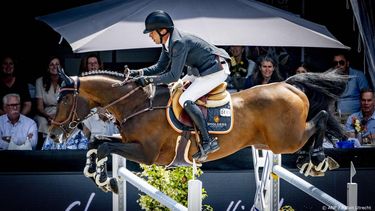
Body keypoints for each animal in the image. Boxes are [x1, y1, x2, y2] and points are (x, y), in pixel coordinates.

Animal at [48, 69, 348, 193]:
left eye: (63, 100)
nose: (52, 134)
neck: (136, 104)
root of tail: (288, 85)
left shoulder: (147, 154)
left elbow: (104, 146)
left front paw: (102, 179)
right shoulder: (128, 141)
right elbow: (97, 143)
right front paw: (99, 176)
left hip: (285, 140)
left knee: (321, 118)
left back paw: (317, 160)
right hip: (276, 142)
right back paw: (311, 161)